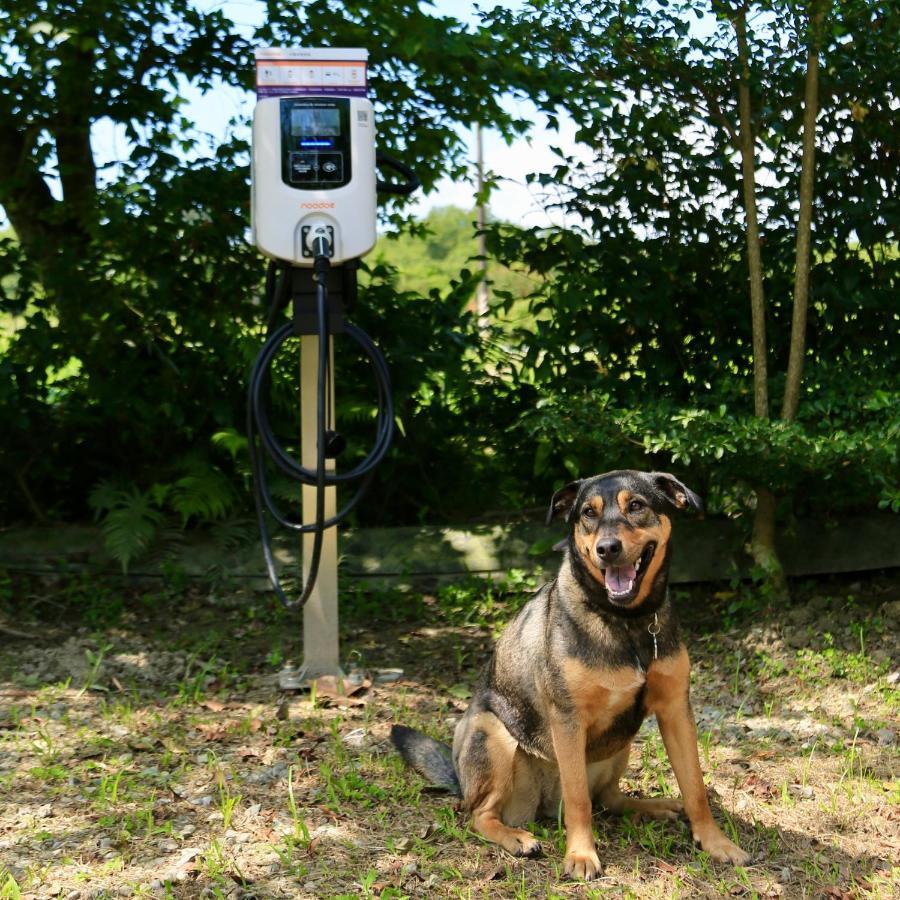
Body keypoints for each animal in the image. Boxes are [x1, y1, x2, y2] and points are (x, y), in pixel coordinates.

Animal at [390, 472, 748, 880]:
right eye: (588, 513)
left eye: (636, 506)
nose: (607, 548)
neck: (627, 621)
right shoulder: (568, 718)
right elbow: (578, 799)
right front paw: (581, 855)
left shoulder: (675, 709)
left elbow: (695, 786)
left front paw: (716, 842)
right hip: (492, 733)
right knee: (480, 813)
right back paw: (516, 837)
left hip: (620, 745)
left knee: (610, 799)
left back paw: (654, 807)